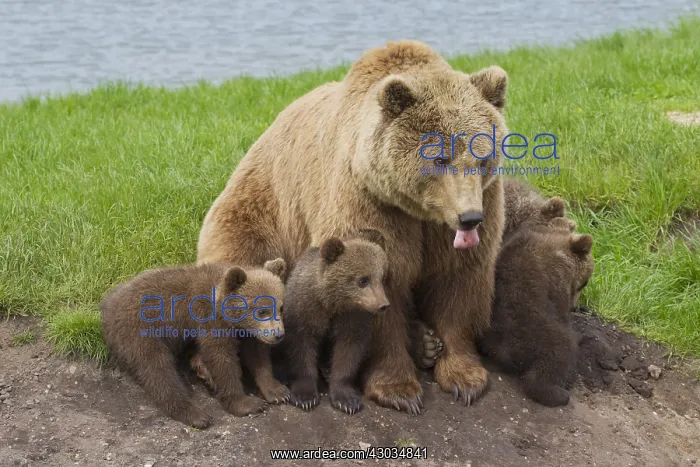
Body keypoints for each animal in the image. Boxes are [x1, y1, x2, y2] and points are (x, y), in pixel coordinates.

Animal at [100, 259, 287, 428]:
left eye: (280, 307)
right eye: (262, 311)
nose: (278, 334)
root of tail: (107, 305)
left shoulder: (248, 333)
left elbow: (258, 356)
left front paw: (277, 391)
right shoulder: (208, 320)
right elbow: (221, 358)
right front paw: (247, 403)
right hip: (140, 331)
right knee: (158, 370)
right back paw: (196, 415)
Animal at [278, 229, 390, 415]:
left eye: (382, 278)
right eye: (363, 280)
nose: (383, 305)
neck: (332, 302)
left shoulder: (352, 317)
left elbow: (348, 352)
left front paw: (347, 400)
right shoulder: (305, 310)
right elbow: (301, 348)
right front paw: (305, 396)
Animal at [476, 221, 594, 407]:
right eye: (585, 282)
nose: (574, 307)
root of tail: (507, 351)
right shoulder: (556, 280)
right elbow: (560, 308)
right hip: (540, 333)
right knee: (558, 355)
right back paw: (559, 393)